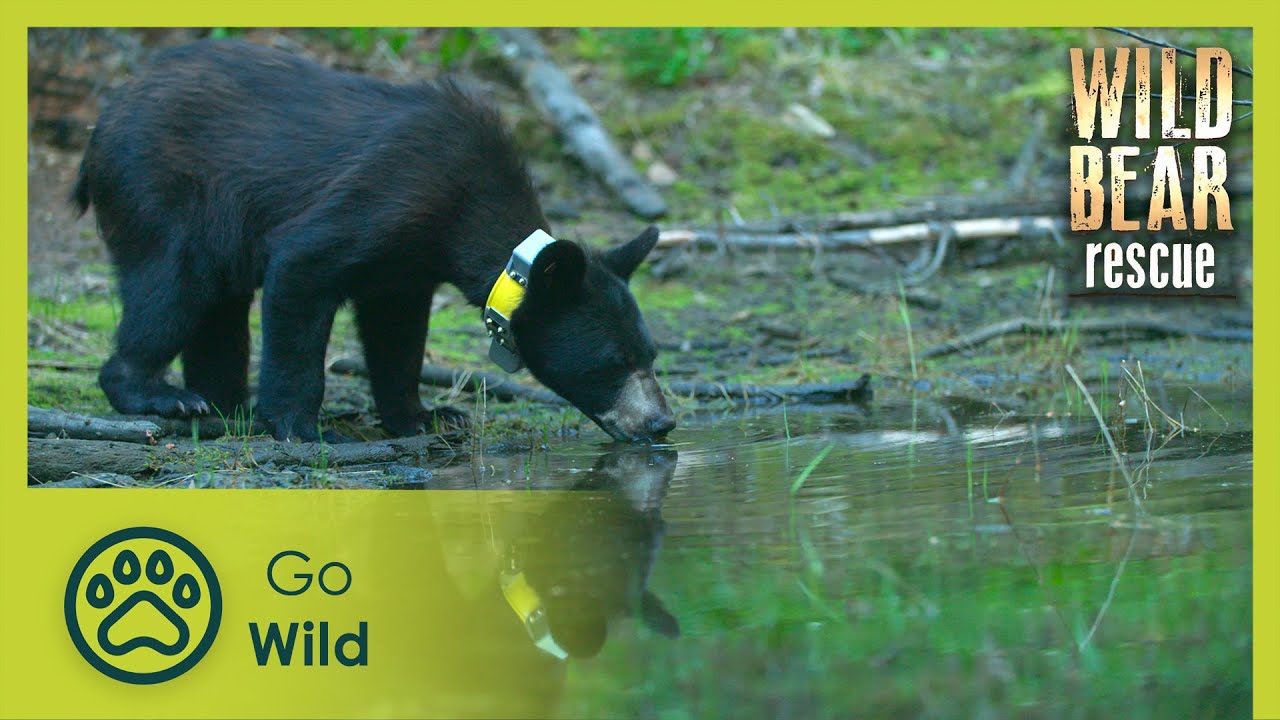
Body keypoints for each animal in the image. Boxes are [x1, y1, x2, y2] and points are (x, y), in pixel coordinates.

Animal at [71, 39, 675, 443]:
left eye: (651, 353)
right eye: (615, 360)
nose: (662, 421)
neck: (465, 209)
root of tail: (102, 120)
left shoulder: (406, 268)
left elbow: (397, 337)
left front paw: (426, 415)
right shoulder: (385, 197)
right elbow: (301, 273)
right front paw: (301, 427)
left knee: (218, 308)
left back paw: (223, 406)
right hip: (160, 191)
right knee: (172, 290)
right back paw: (164, 397)